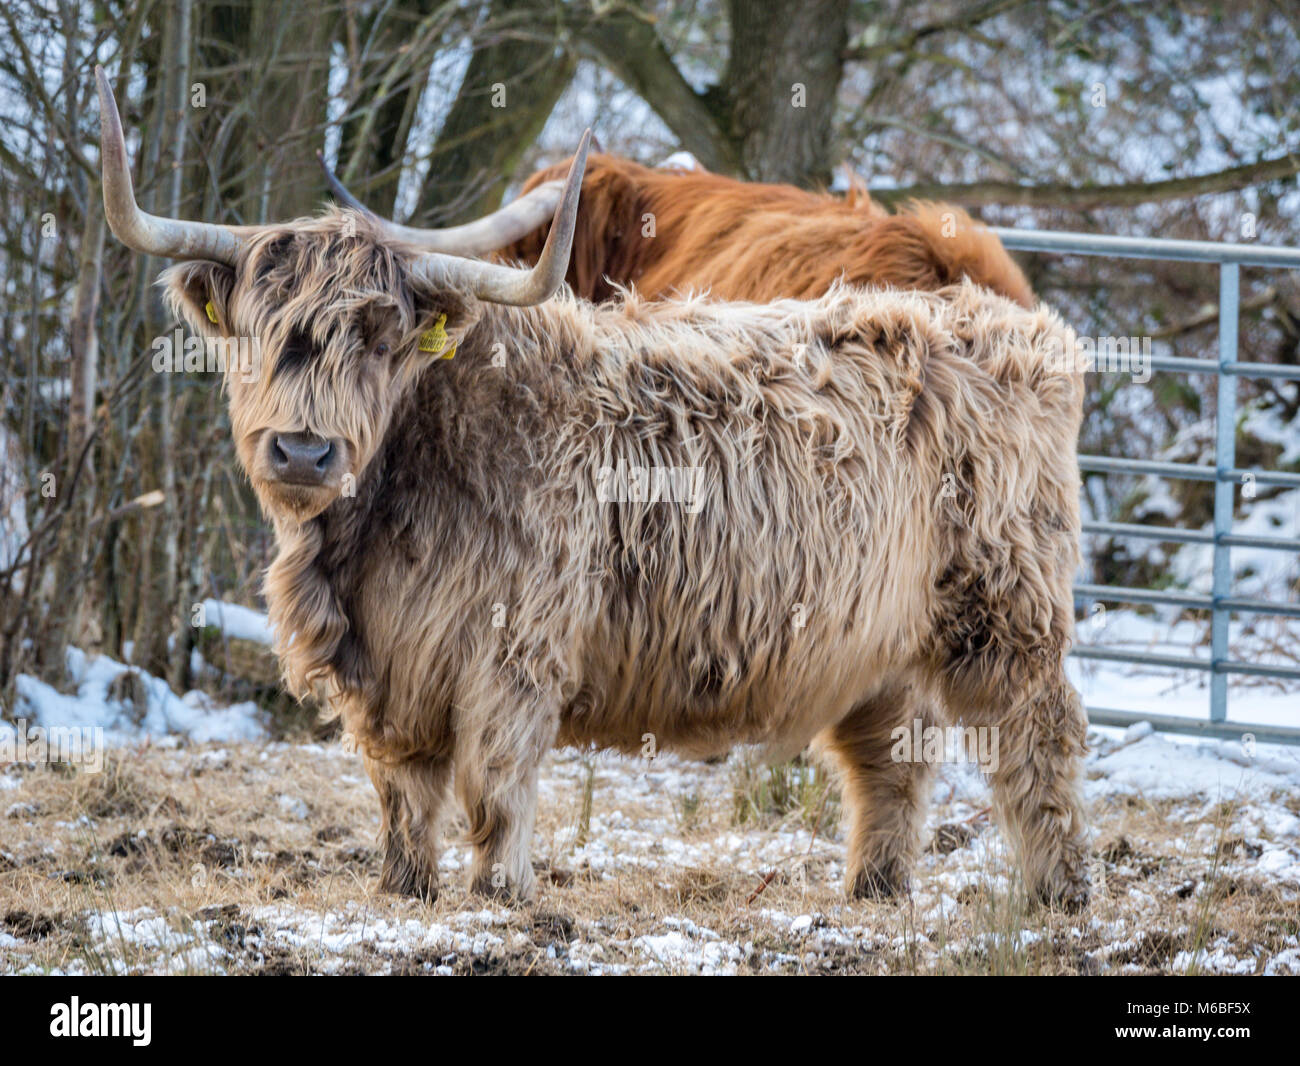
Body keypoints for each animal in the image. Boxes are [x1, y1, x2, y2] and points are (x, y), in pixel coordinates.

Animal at [97, 67, 1089, 910]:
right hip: (881, 638)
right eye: (258, 329)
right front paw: (404, 890)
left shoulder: (513, 650)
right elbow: (402, 794)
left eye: (381, 337)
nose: (303, 452)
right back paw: (875, 890)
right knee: (889, 761)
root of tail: (1018, 324)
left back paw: (1056, 896)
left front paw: (501, 893)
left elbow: (494, 786)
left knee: (1039, 739)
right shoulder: (389, 670)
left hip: (1006, 608)